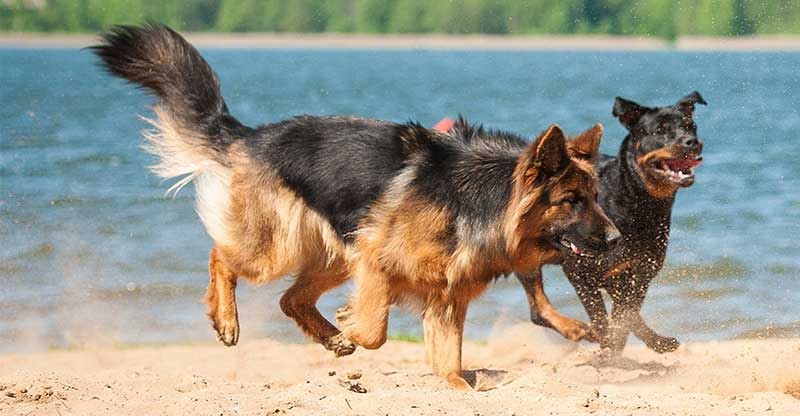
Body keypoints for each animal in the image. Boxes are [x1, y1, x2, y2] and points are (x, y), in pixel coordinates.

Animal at [92, 23, 620, 386]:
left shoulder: (446, 299)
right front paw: (350, 327)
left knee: (290, 298)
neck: (479, 199)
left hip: (334, 255)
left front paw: (460, 388)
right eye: (571, 201)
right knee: (222, 256)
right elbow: (375, 332)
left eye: (596, 196)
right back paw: (229, 320)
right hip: (282, 249)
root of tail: (253, 135)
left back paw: (326, 336)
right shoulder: (378, 264)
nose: (617, 238)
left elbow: (450, 369)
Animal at [520, 92, 708, 352]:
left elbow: (625, 315)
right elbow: (602, 315)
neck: (637, 202)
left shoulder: (641, 273)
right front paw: (606, 344)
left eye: (691, 126)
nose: (692, 142)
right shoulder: (580, 271)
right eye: (660, 130)